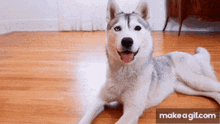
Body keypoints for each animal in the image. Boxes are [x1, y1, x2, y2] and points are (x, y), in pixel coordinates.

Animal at [78, 0, 219, 123]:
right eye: (117, 28)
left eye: (137, 28)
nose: (127, 41)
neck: (125, 72)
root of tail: (191, 55)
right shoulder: (99, 100)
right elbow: (85, 118)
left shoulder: (132, 111)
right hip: (186, 88)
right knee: (212, 92)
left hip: (194, 80)